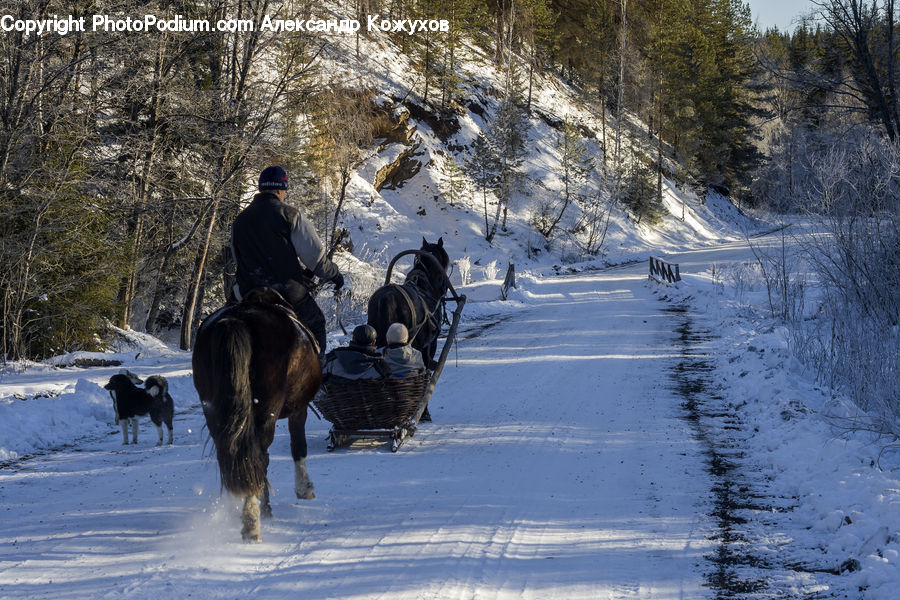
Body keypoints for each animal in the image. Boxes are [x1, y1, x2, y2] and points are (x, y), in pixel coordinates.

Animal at [192, 288, 320, 543]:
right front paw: (304, 488)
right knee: (257, 455)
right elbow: (298, 446)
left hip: (213, 409)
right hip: (265, 409)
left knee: (230, 452)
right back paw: (253, 519)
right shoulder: (299, 408)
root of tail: (236, 320)